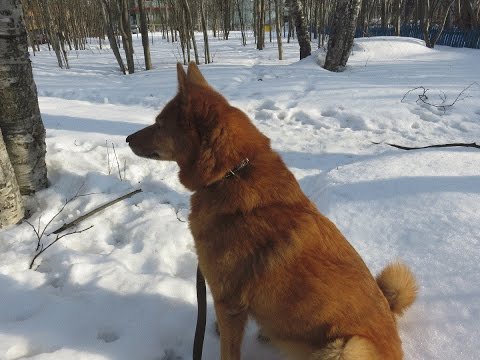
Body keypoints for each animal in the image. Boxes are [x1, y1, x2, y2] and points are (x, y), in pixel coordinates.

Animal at [126, 63, 416, 358]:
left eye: (159, 124)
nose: (126, 139)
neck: (231, 173)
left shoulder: (229, 304)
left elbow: (228, 350)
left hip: (348, 346)